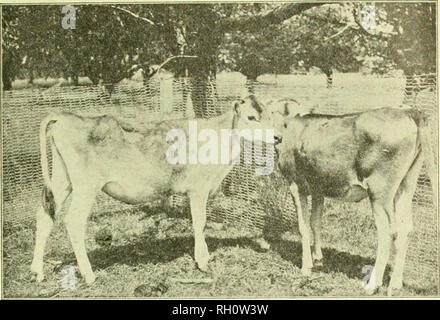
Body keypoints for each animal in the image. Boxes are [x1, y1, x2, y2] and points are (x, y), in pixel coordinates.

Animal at [31, 94, 278, 282]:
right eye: (251, 117)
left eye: (269, 115)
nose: (277, 136)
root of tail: (64, 116)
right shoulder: (198, 188)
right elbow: (200, 223)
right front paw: (203, 261)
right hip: (86, 186)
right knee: (73, 221)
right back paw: (89, 275)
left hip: (62, 180)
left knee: (44, 216)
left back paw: (37, 272)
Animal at [264, 99, 436, 296]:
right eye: (268, 112)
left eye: (274, 113)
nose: (275, 137)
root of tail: (408, 111)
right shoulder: (318, 188)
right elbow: (316, 222)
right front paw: (318, 258)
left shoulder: (295, 184)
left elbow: (303, 227)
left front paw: (306, 267)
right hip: (406, 185)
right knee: (405, 229)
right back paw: (395, 283)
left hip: (380, 192)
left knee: (387, 233)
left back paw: (373, 285)